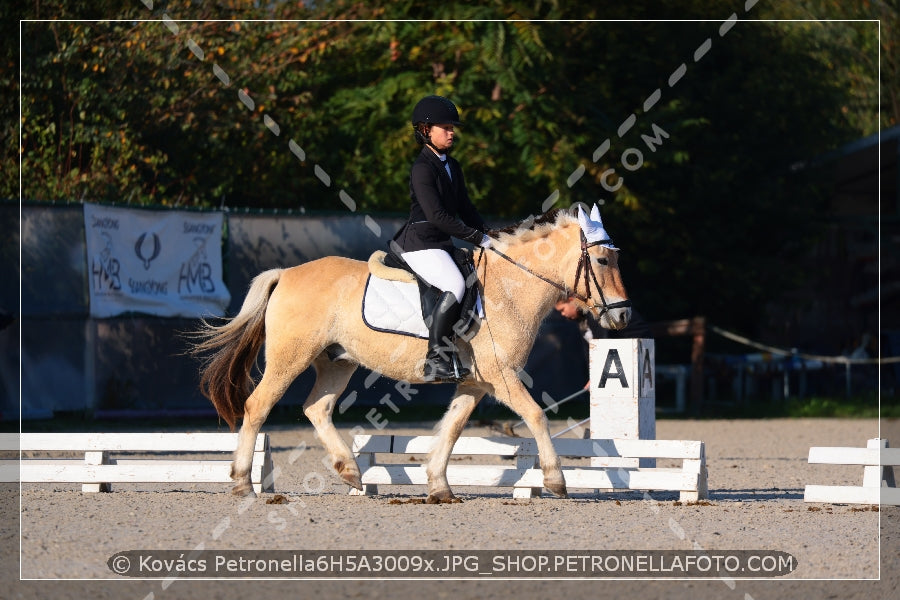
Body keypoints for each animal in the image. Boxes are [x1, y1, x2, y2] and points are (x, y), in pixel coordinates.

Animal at [186, 204, 628, 504]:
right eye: (602, 259)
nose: (623, 315)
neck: (510, 286)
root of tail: (286, 273)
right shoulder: (502, 376)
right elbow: (537, 416)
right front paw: (555, 480)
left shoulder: (476, 382)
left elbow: (452, 428)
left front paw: (439, 486)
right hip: (288, 359)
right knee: (258, 406)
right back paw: (243, 482)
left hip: (337, 362)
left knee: (316, 408)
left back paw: (351, 472)